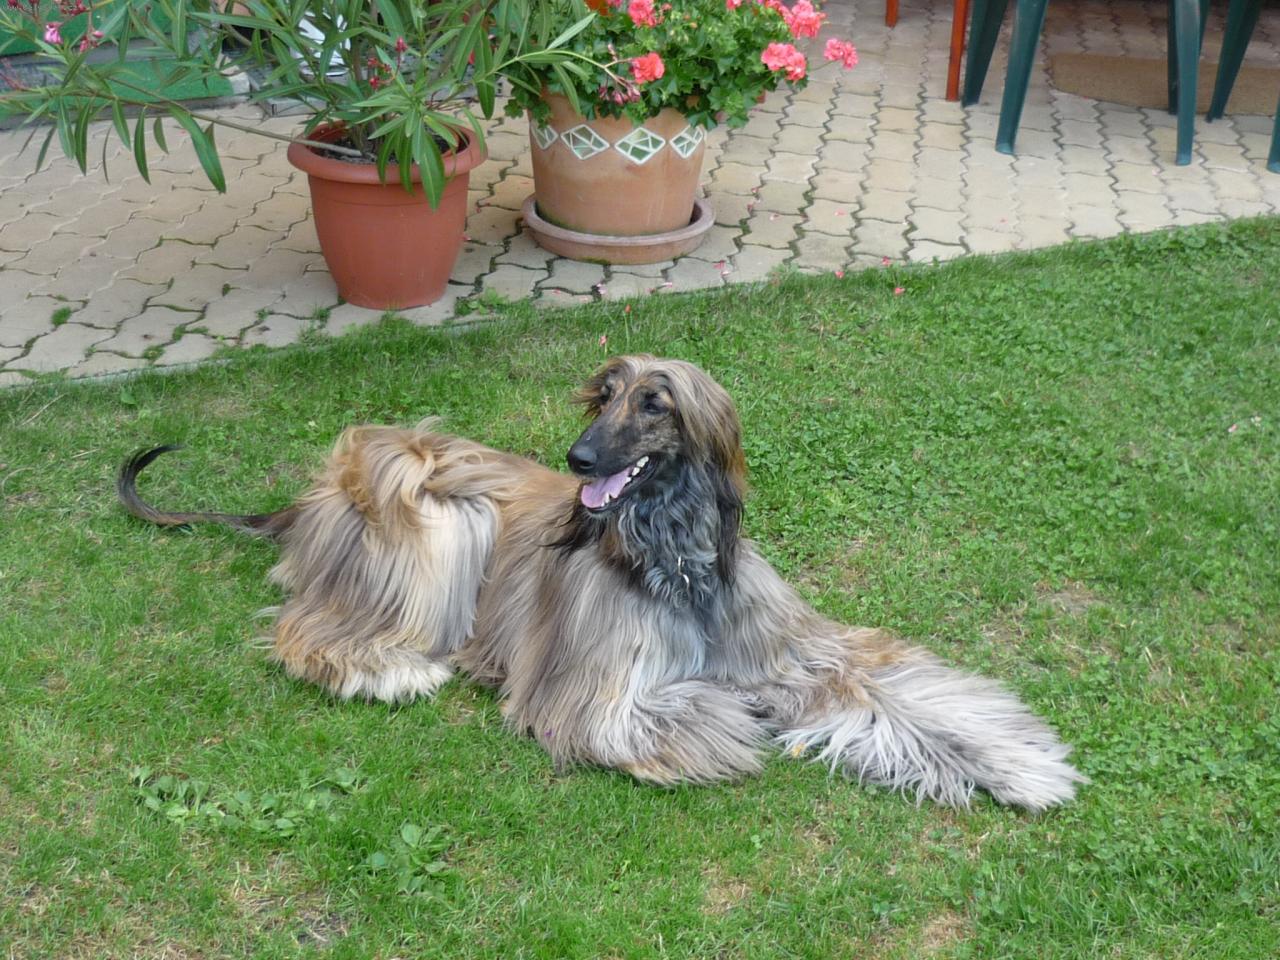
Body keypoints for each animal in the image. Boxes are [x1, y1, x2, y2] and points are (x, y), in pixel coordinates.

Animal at [119, 355, 1082, 810]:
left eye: (654, 403)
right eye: (600, 396)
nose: (579, 458)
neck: (675, 558)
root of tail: (303, 501)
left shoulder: (804, 651)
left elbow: (904, 696)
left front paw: (1016, 765)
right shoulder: (598, 687)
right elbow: (673, 709)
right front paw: (742, 720)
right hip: (422, 496)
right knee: (306, 630)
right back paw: (385, 669)